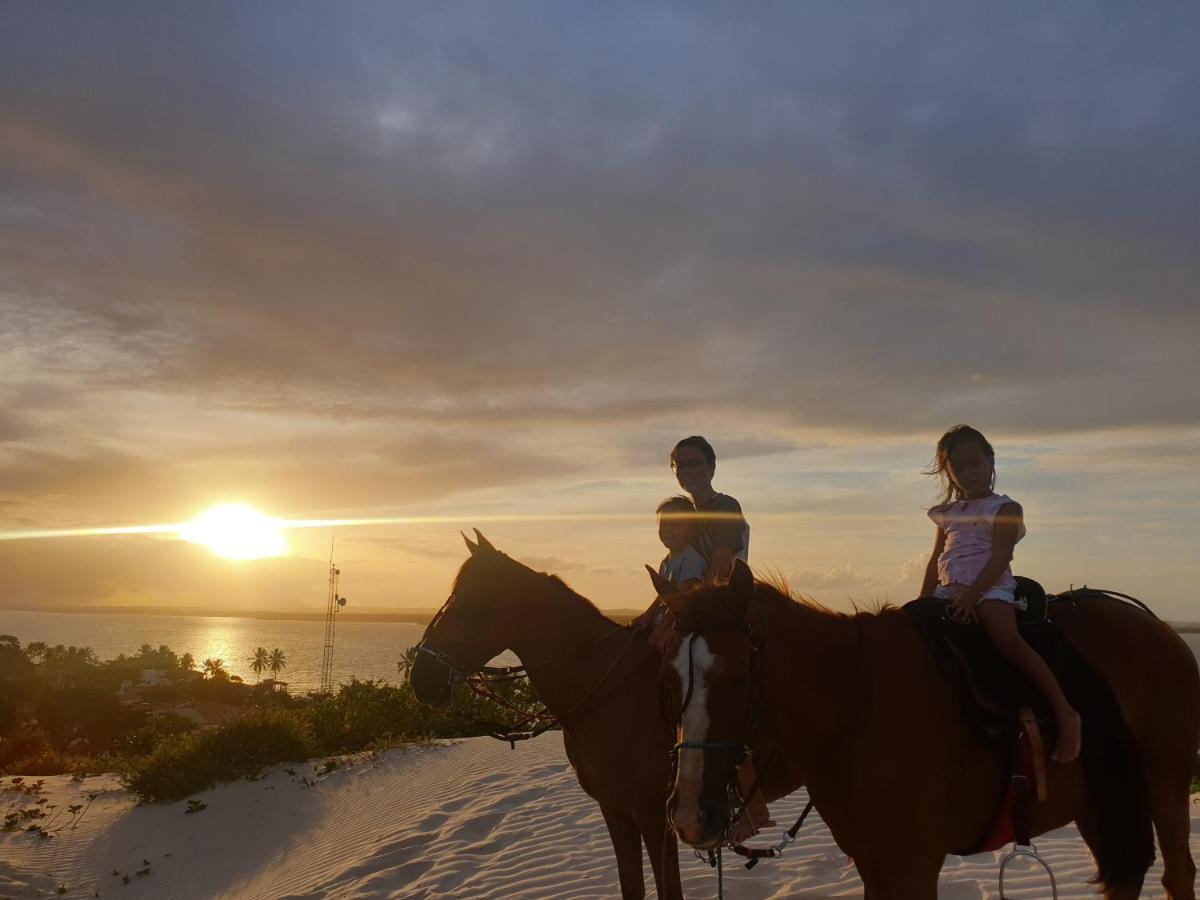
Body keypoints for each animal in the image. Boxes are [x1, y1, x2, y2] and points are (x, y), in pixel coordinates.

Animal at [408, 535, 681, 900]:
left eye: (475, 598)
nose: (420, 678)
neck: (611, 694)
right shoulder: (617, 812)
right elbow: (631, 886)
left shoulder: (656, 819)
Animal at [662, 564, 1195, 900]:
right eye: (671, 675)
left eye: (736, 675)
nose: (689, 814)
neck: (858, 702)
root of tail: (1162, 630)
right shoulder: (874, 866)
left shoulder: (914, 865)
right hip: (1098, 800)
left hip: (1165, 787)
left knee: (1178, 875)